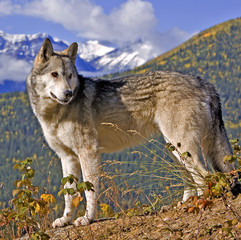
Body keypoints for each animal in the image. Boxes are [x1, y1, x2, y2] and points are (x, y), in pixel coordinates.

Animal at [26, 38, 233, 228]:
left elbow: (89, 191)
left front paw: (87, 219)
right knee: (190, 179)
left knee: (204, 176)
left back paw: (200, 204)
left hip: (183, 148)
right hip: (175, 150)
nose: (69, 93)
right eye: (55, 74)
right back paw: (184, 204)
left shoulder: (88, 152)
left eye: (70, 76)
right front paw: (65, 220)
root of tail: (204, 83)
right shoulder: (67, 157)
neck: (55, 113)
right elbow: (69, 195)